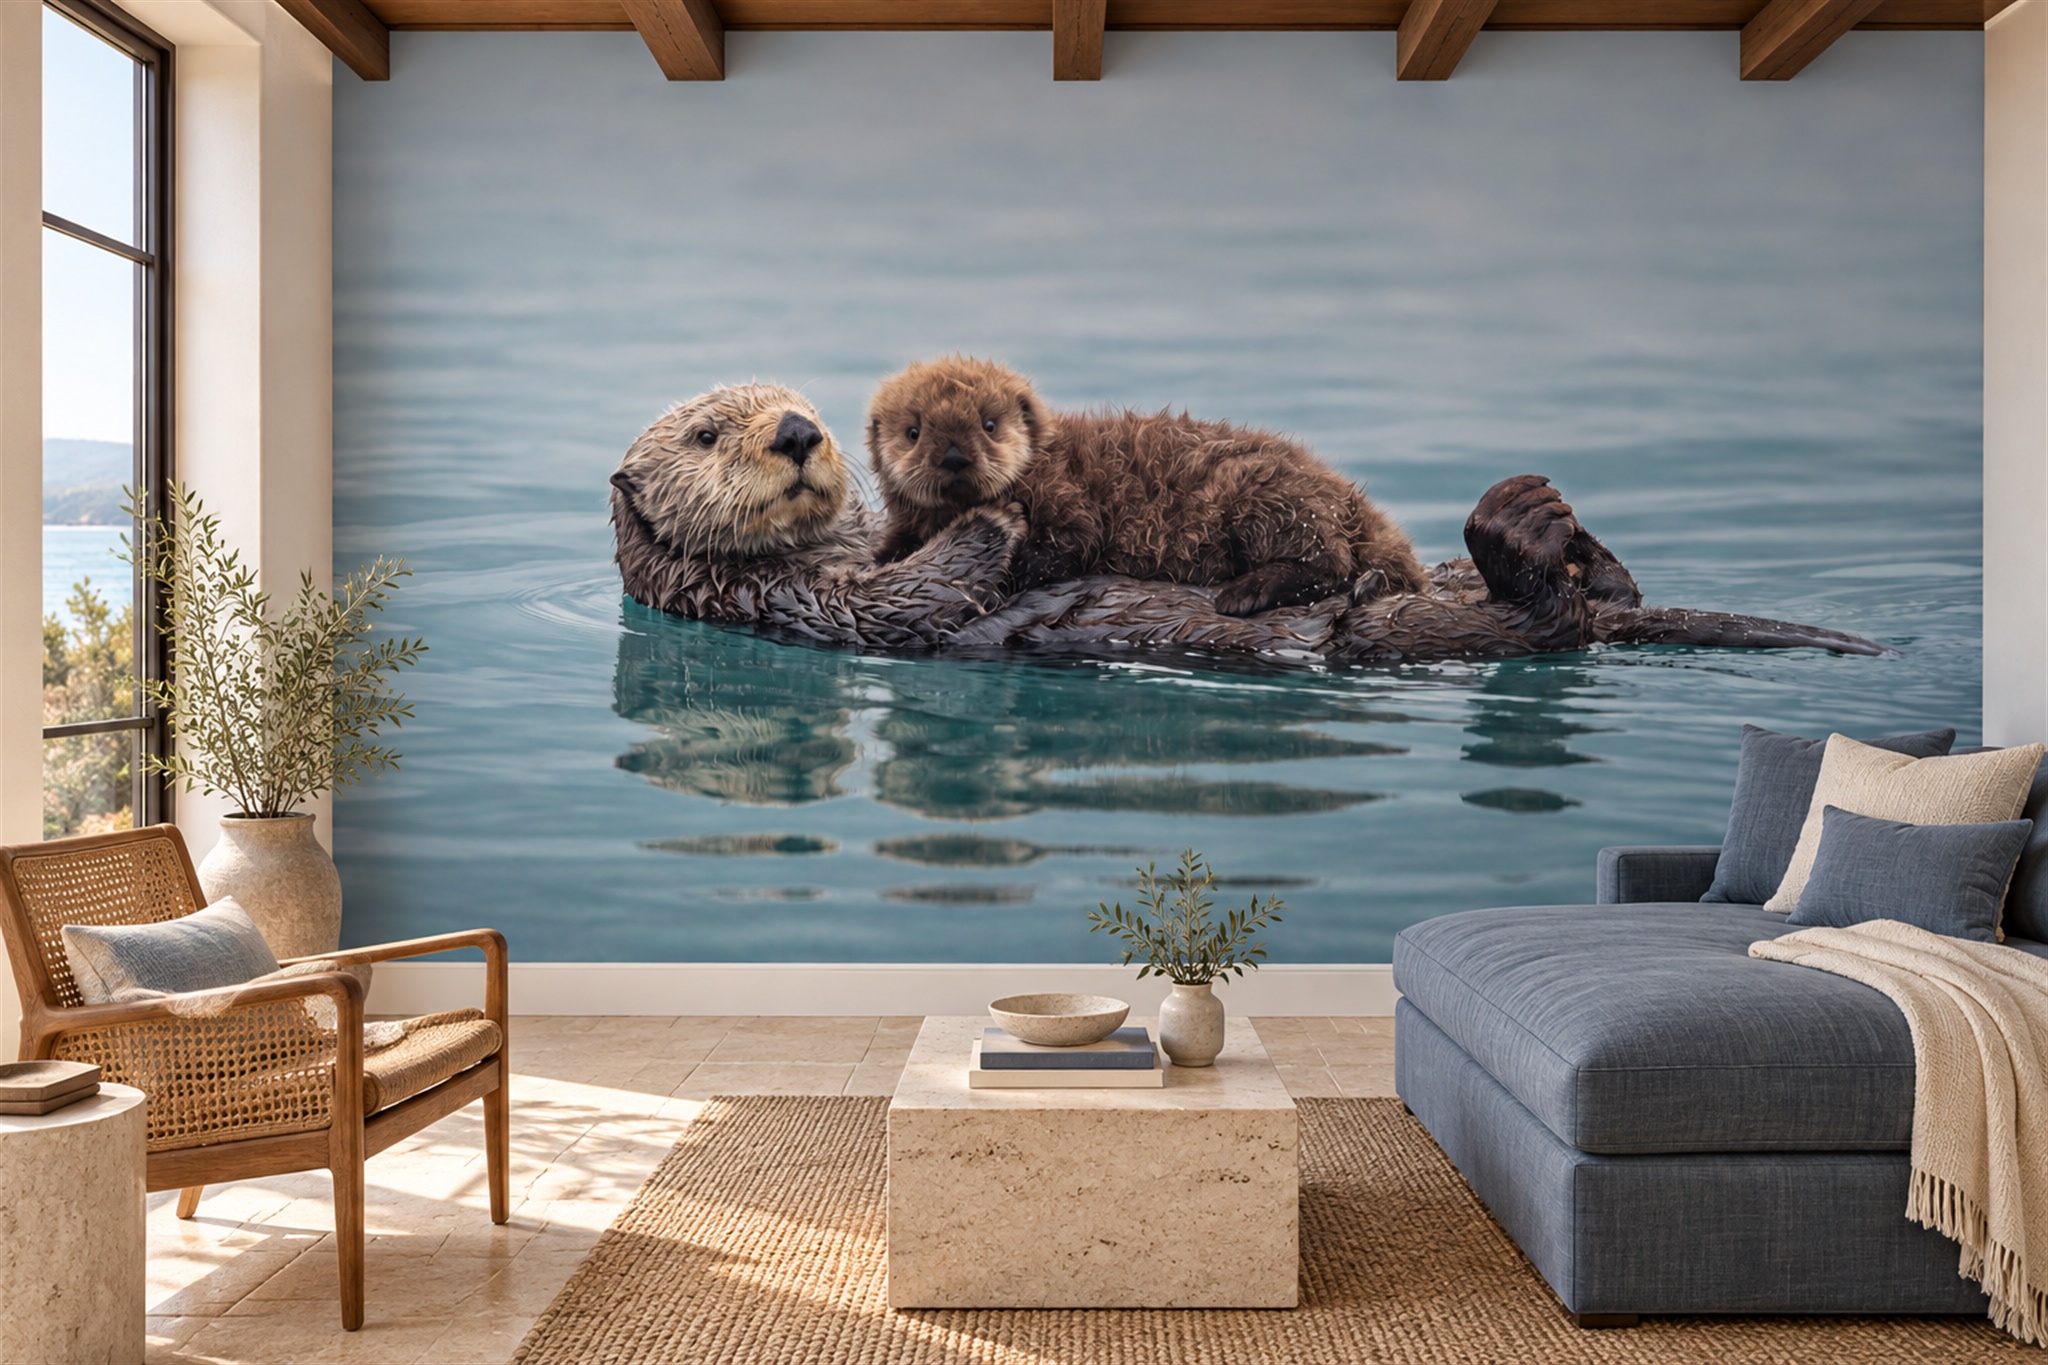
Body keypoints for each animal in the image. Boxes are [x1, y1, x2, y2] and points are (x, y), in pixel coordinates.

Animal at [608, 383, 1024, 652]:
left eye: (810, 412)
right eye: (706, 436)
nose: (796, 431)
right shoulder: (771, 594)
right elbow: (895, 600)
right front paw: (993, 518)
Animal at [864, 356, 1430, 617]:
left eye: (988, 425)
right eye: (913, 432)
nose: (955, 458)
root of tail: (1352, 502)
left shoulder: (1067, 498)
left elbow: (1068, 544)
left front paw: (1009, 573)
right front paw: (882, 557)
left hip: (1268, 496)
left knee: (1328, 564)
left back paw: (1245, 592)